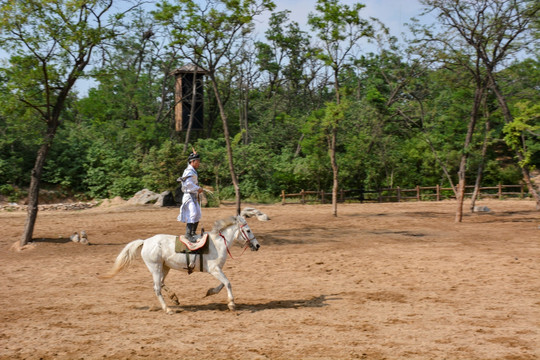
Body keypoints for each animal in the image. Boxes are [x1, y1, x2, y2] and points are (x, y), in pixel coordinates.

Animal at [101, 210, 266, 314]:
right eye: (248, 230)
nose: (257, 246)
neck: (217, 243)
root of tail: (145, 241)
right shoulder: (214, 269)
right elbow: (228, 283)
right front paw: (231, 304)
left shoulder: (217, 270)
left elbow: (222, 284)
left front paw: (210, 292)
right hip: (155, 267)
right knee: (157, 288)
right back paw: (168, 309)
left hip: (165, 267)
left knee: (161, 283)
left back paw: (174, 298)